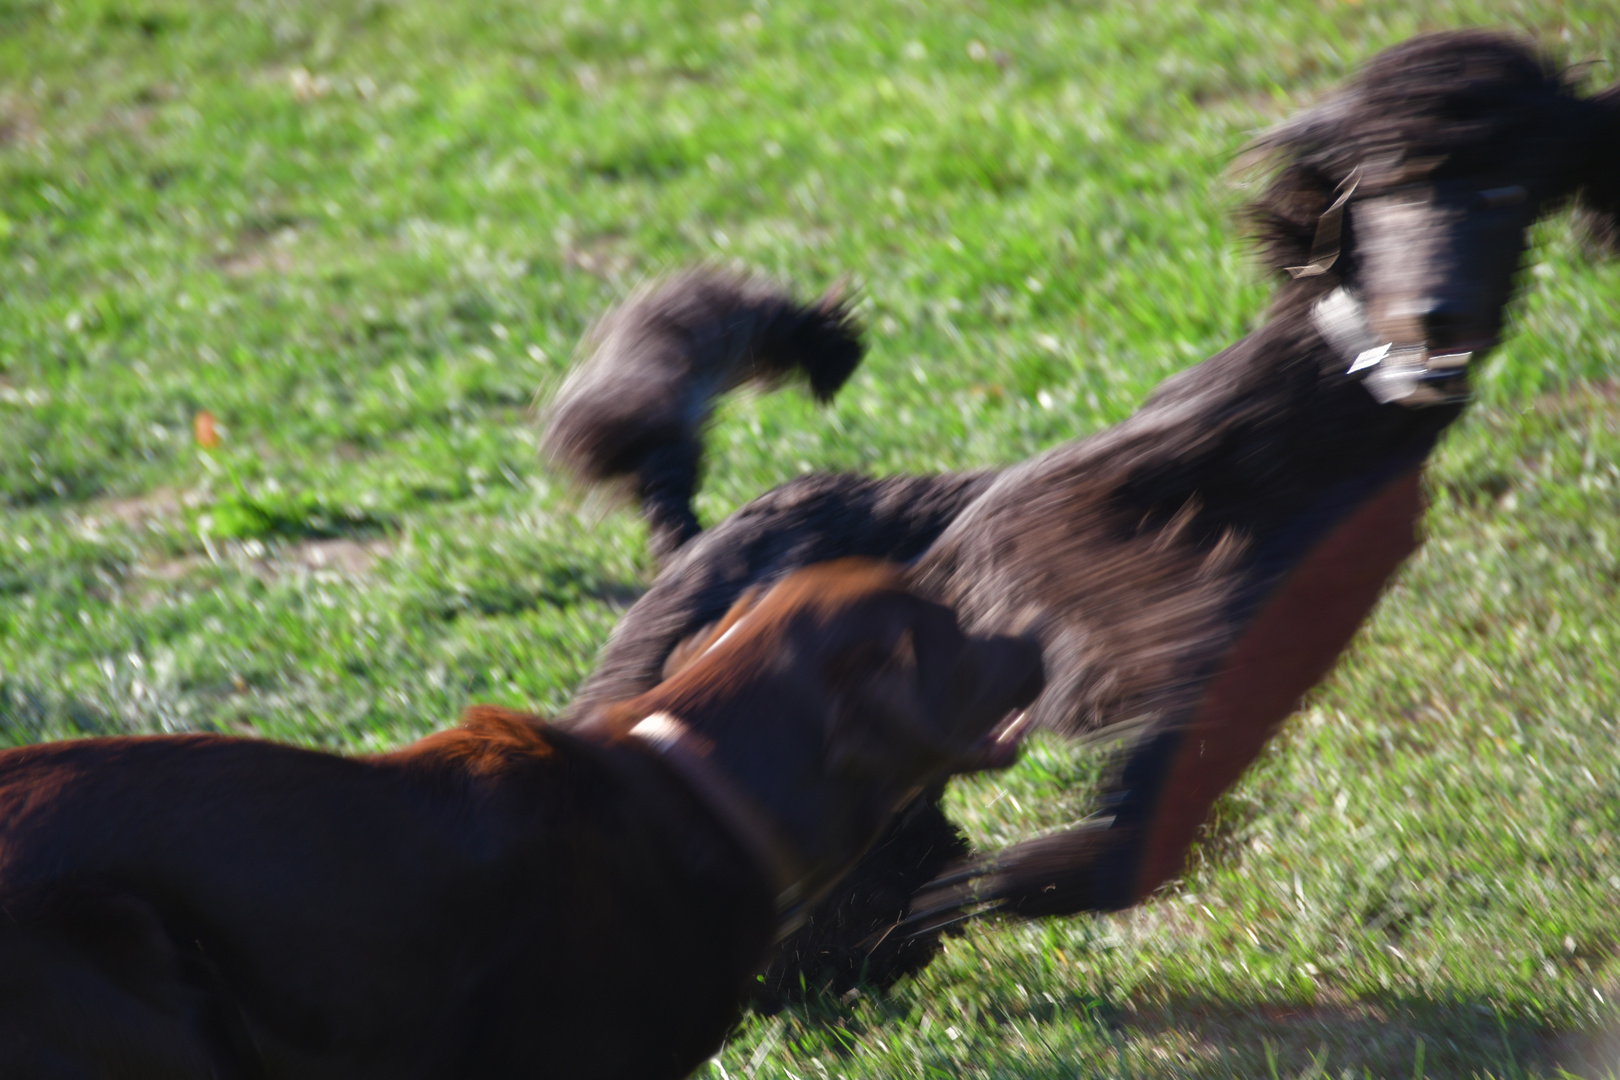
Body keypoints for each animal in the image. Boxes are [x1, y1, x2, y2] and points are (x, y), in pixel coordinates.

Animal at [547, 31, 1620, 1003]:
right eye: (1385, 187)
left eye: (1507, 193)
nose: (1437, 316)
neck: (1319, 415)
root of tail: (691, 536)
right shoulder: (1055, 528)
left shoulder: (1269, 639)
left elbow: (1171, 772)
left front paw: (1036, 876)